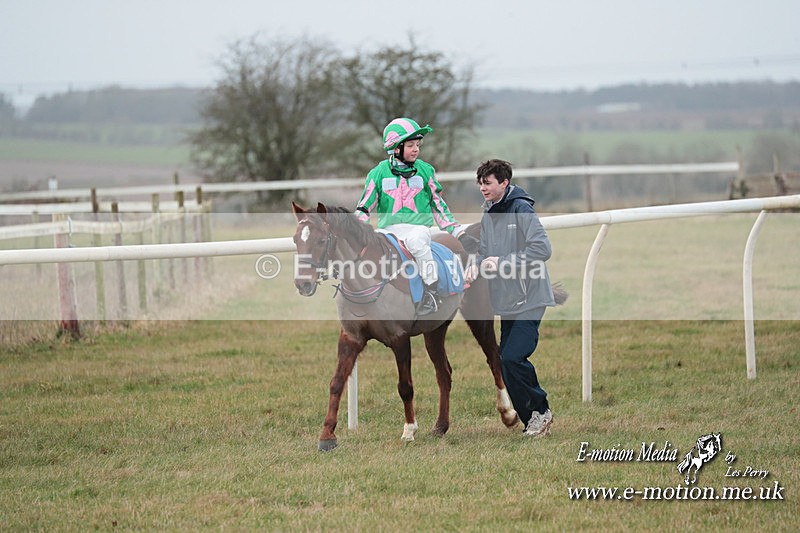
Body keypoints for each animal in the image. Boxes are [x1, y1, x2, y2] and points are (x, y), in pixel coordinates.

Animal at [292, 202, 529, 451]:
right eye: (296, 240)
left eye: (320, 240)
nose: (302, 284)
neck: (367, 282)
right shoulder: (350, 337)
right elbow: (336, 382)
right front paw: (327, 435)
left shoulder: (399, 338)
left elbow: (405, 386)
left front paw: (409, 430)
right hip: (435, 329)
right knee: (444, 373)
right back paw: (440, 426)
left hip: (479, 314)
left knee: (493, 357)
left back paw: (508, 413)